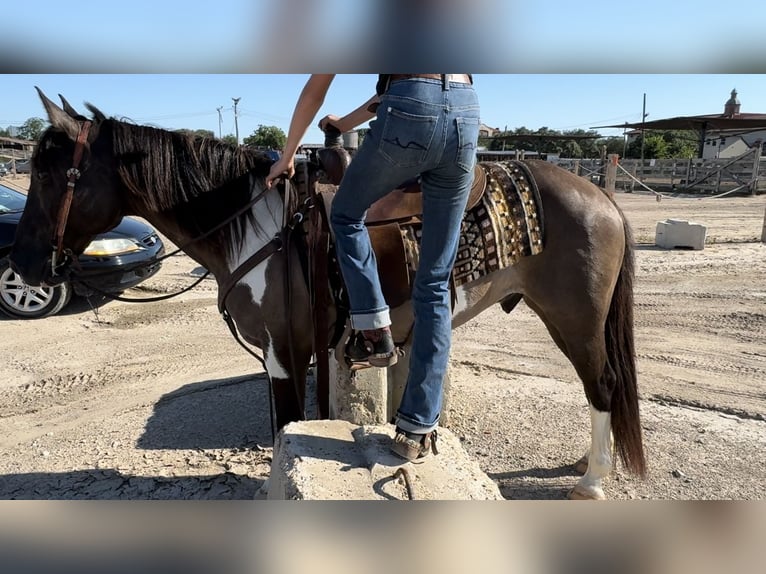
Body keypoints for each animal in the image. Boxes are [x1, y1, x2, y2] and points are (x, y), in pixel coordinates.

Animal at [10, 90, 648, 500]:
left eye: (49, 174)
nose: (20, 263)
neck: (259, 228)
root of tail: (600, 195)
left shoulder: (283, 352)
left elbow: (286, 424)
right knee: (600, 387)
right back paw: (587, 460)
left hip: (575, 318)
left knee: (603, 383)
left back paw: (592, 479)